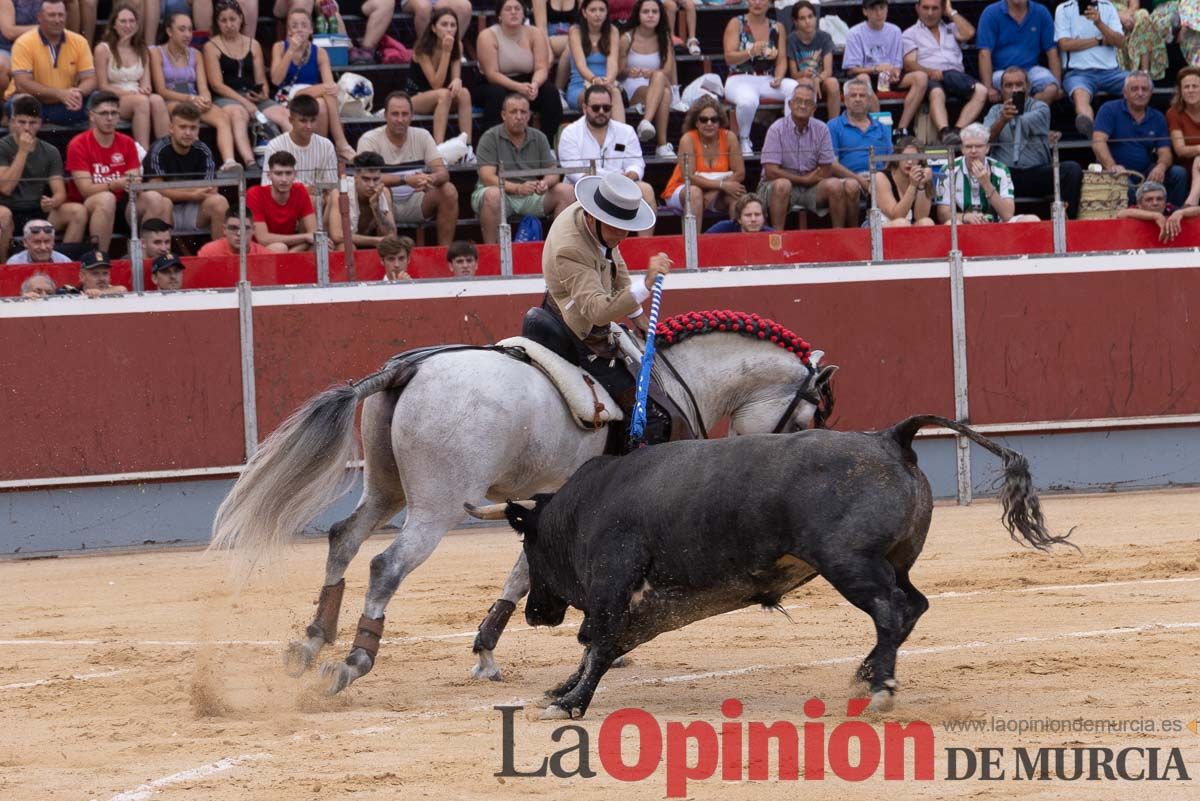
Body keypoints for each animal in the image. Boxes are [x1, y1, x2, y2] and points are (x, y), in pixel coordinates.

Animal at [208, 318, 835, 695]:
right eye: (806, 417)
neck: (675, 384)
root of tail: (408, 369)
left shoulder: (543, 503)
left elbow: (521, 570)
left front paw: (488, 650)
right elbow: (532, 571)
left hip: (386, 489)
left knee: (343, 536)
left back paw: (312, 641)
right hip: (435, 505)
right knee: (387, 564)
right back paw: (353, 662)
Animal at [463, 412, 1075, 719]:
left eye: (528, 545)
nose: (537, 615)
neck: (583, 506)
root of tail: (889, 437)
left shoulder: (614, 583)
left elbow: (599, 640)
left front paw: (571, 705)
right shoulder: (651, 601)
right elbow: (606, 644)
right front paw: (562, 693)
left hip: (848, 563)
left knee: (889, 610)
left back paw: (879, 689)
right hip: (892, 561)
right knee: (913, 605)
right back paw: (867, 675)